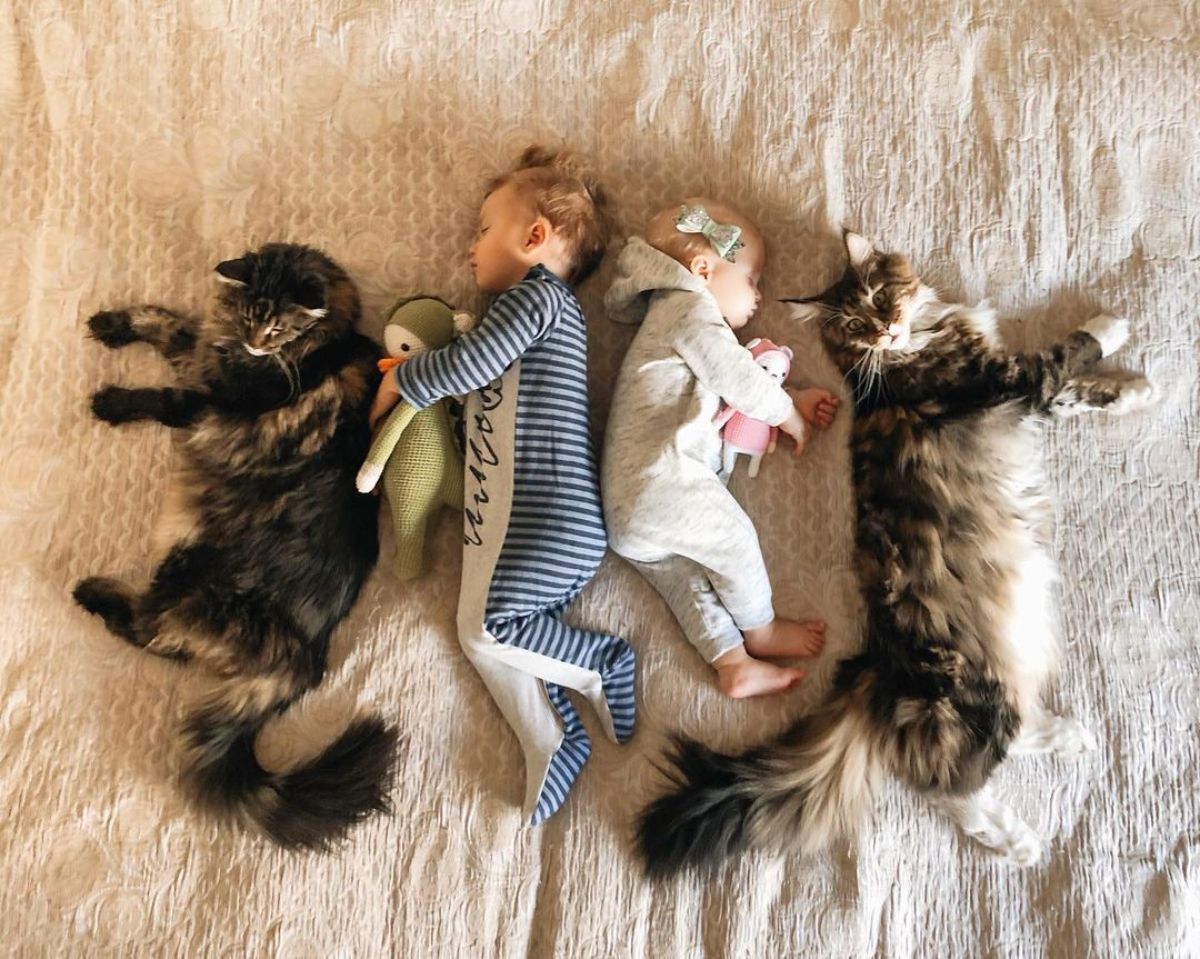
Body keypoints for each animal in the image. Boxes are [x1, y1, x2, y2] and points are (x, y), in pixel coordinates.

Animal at [72, 243, 396, 849]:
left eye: (279, 327)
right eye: (250, 315)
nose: (254, 342)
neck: (325, 344)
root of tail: (306, 656)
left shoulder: (205, 400)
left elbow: (161, 392)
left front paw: (112, 401)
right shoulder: (202, 351)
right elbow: (167, 320)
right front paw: (113, 324)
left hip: (192, 566)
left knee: (150, 628)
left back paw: (91, 594)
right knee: (167, 642)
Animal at [638, 229, 1152, 873]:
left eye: (881, 298)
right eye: (856, 326)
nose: (885, 332)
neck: (919, 341)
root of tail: (878, 663)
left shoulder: (1022, 390)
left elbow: (1080, 394)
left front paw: (1136, 391)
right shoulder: (1009, 379)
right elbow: (1068, 353)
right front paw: (1114, 329)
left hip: (994, 676)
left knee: (1002, 739)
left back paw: (1069, 736)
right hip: (966, 689)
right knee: (950, 786)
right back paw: (1021, 840)